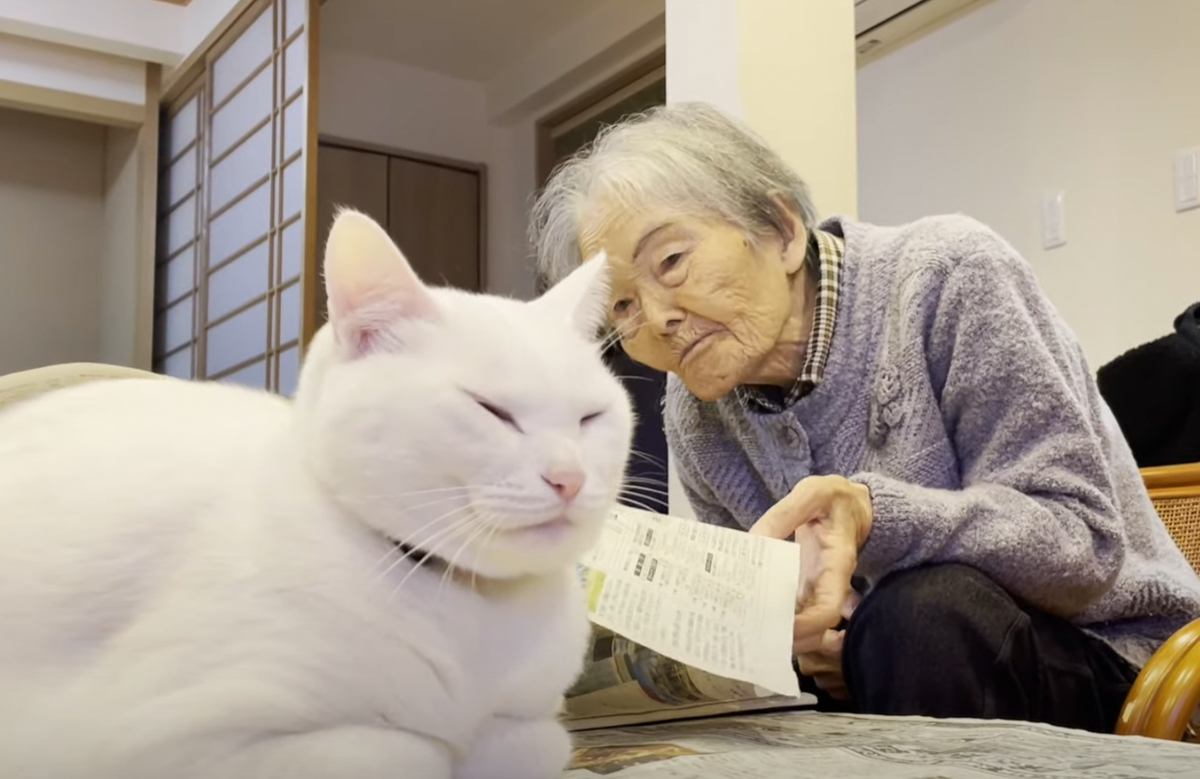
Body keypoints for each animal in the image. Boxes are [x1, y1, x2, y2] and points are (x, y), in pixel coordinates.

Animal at [0, 210, 638, 777]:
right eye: (491, 410)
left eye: (591, 417)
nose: (569, 477)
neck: (473, 610)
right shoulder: (157, 737)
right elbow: (411, 751)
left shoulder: (537, 719)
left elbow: (529, 741)